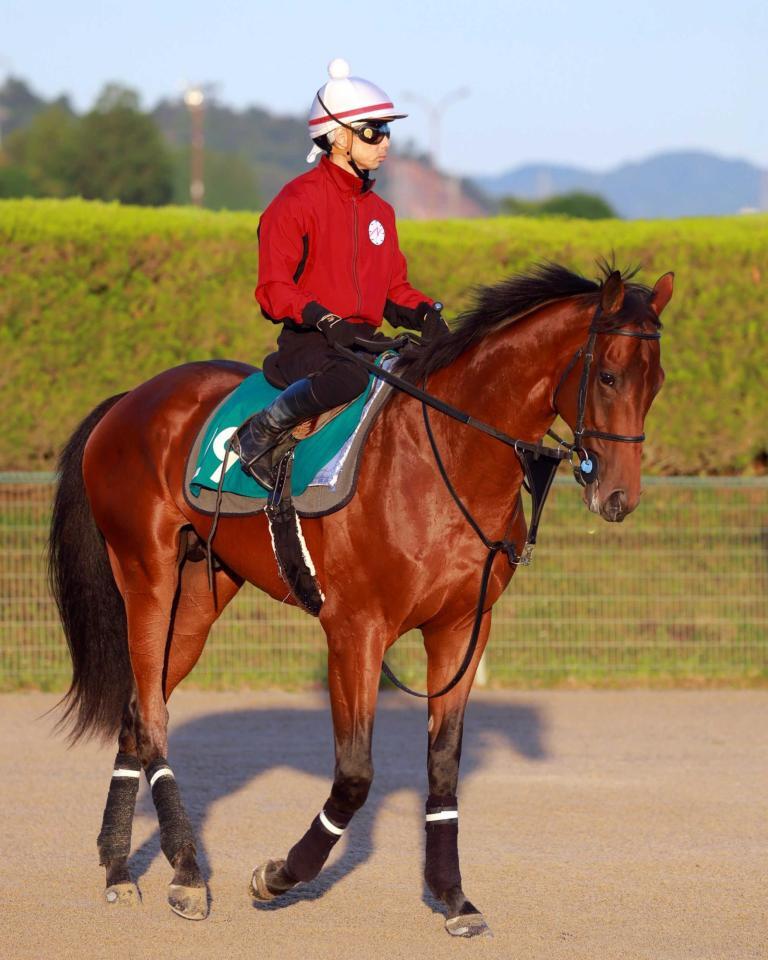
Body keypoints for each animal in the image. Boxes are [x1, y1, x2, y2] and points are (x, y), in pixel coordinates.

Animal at [49, 261, 672, 937]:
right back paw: (187, 872)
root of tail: (130, 399)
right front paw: (281, 875)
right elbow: (353, 777)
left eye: (657, 382)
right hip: (148, 580)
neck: (444, 455)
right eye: (608, 374)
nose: (619, 497)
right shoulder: (355, 632)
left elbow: (443, 766)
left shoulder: (462, 630)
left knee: (139, 712)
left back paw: (117, 868)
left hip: (196, 601)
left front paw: (453, 896)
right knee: (155, 719)